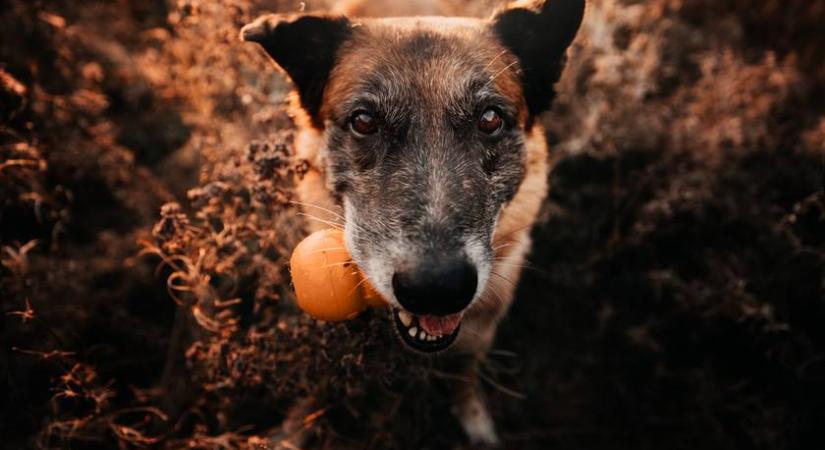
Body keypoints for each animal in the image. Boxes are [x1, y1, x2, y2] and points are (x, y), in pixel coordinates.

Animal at [241, 0, 584, 442]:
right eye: (364, 121)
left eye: (490, 119)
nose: (436, 288)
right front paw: (291, 431)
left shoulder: (480, 328)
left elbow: (464, 377)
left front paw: (475, 425)